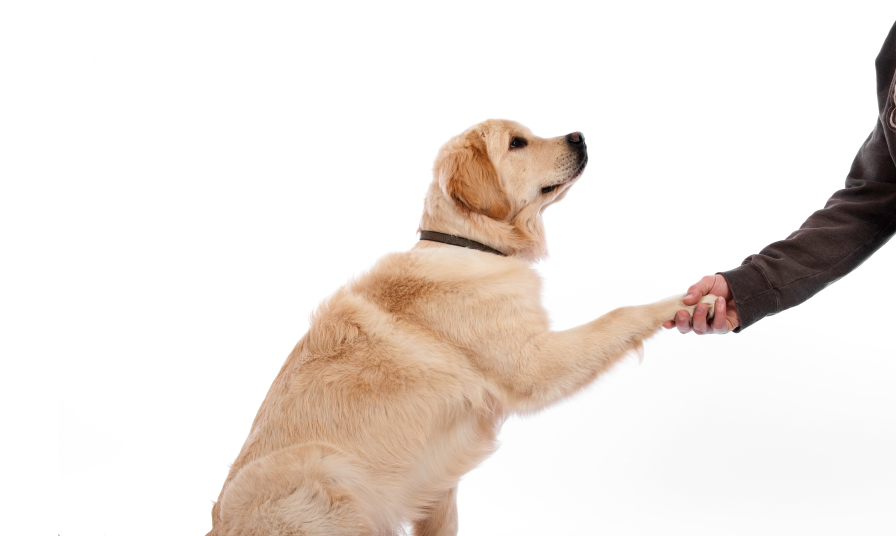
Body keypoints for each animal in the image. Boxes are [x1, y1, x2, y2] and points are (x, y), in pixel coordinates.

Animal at [206, 119, 716, 532]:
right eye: (517, 143)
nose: (580, 136)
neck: (469, 244)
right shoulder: (534, 365)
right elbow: (620, 313)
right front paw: (695, 298)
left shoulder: (438, 487)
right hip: (331, 473)